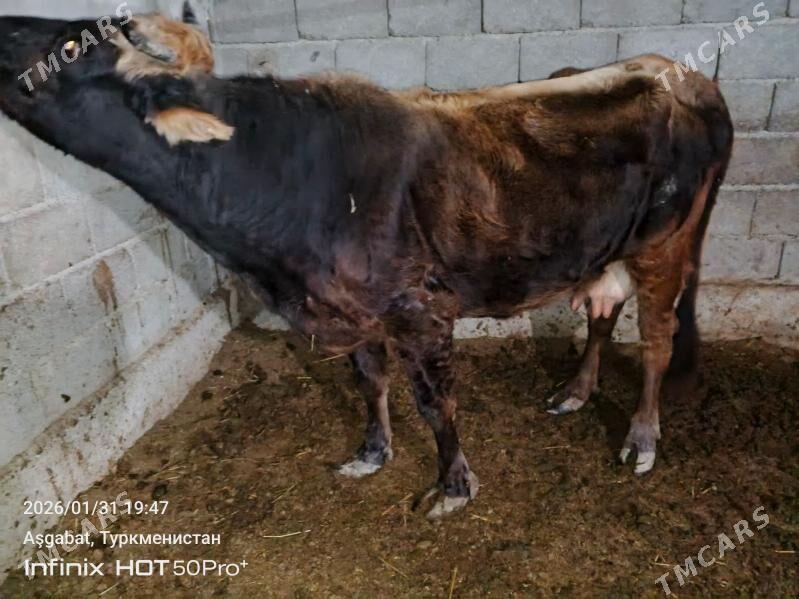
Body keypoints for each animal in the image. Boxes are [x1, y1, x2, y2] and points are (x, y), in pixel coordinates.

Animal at [0, 7, 733, 518]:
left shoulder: (420, 308)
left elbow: (435, 402)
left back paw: (642, 438)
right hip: (608, 245)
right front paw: (371, 454)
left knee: (657, 339)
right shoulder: (349, 309)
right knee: (602, 313)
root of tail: (682, 73)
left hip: (664, 245)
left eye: (72, 46)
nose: (4, 26)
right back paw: (575, 392)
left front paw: (452, 486)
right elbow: (369, 382)